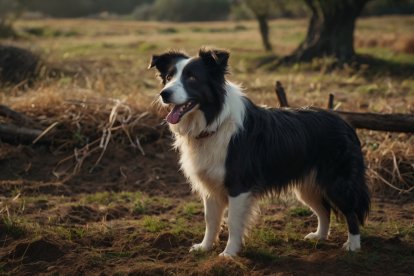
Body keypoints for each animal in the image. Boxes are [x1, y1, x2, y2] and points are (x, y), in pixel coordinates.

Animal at [150, 47, 370, 256]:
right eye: (169, 77)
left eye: (192, 78)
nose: (164, 94)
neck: (215, 122)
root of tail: (345, 122)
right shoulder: (210, 184)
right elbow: (210, 220)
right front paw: (205, 247)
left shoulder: (238, 185)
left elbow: (232, 221)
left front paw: (229, 254)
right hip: (308, 186)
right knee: (324, 211)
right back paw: (320, 236)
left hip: (337, 182)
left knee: (351, 212)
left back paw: (353, 245)